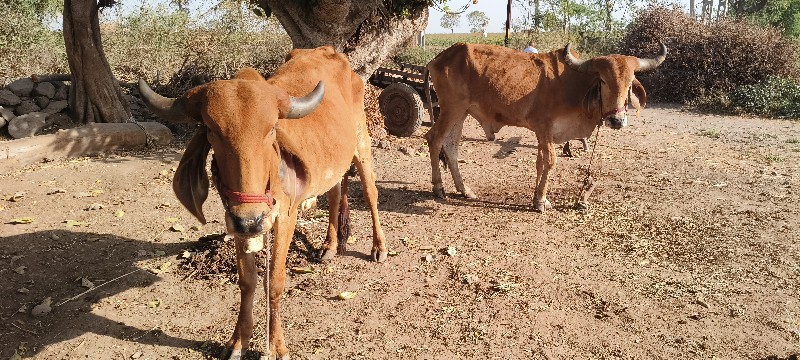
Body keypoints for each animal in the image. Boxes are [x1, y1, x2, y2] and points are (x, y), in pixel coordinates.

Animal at [138, 46, 388, 358]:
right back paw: (329, 246)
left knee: (370, 193)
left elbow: (275, 282)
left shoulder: (285, 217)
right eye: (211, 130)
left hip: (361, 144)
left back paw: (379, 247)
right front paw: (237, 342)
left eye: (271, 129)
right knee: (333, 195)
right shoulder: (236, 220)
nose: (252, 219)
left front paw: (277, 346)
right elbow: (247, 281)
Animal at [428, 43, 664, 211]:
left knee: (451, 147)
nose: (617, 120)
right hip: (452, 109)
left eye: (630, 82)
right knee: (434, 139)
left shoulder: (544, 135)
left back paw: (464, 189)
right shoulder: (544, 129)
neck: (573, 83)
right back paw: (438, 188)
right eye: (603, 81)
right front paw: (541, 201)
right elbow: (550, 162)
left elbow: (540, 163)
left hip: (462, 113)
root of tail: (439, 58)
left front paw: (537, 198)